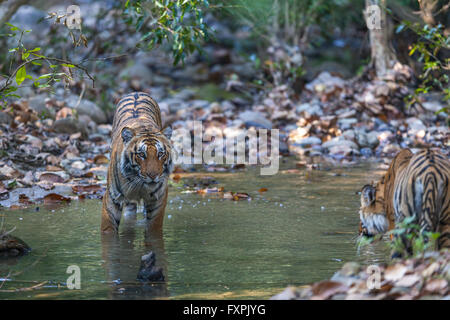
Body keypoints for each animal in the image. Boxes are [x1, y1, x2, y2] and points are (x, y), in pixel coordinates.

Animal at [102, 91, 174, 234]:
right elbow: (108, 229)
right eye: (141, 154)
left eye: (160, 154)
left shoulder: (158, 199)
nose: (153, 175)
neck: (139, 184)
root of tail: (136, 92)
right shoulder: (112, 198)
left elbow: (153, 228)